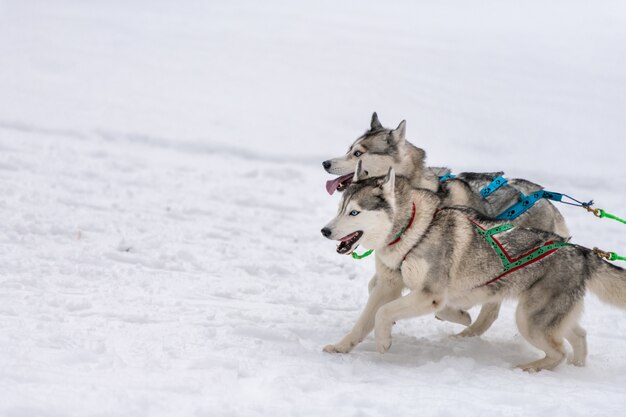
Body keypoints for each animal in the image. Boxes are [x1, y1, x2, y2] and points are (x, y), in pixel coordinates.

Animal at [322, 164, 624, 368]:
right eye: (340, 209)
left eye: (355, 212)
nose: (325, 231)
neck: (414, 230)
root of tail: (580, 252)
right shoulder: (388, 286)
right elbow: (365, 320)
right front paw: (342, 346)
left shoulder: (429, 295)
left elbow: (384, 313)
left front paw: (383, 342)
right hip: (544, 318)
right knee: (579, 336)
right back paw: (577, 366)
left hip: (530, 321)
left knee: (558, 352)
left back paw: (528, 369)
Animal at [324, 112, 568, 336]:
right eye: (349, 149)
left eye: (358, 153)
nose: (325, 163)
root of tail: (548, 203)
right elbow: (375, 288)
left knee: (491, 308)